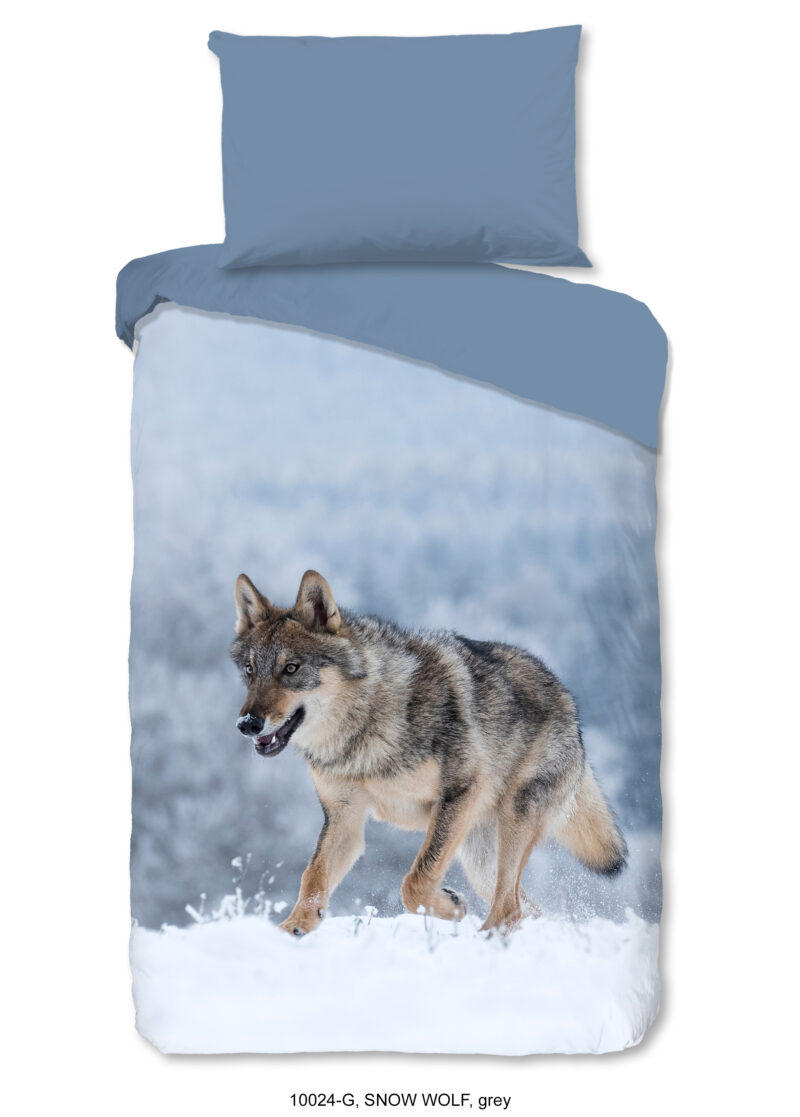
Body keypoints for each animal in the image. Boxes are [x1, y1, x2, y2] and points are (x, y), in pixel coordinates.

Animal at [232, 570, 626, 936]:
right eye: (250, 670)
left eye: (291, 668)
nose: (247, 723)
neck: (365, 726)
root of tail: (568, 699)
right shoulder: (344, 817)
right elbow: (312, 877)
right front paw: (292, 930)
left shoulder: (456, 793)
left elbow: (415, 882)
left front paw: (452, 907)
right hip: (479, 859)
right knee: (527, 908)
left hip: (512, 823)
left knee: (509, 907)